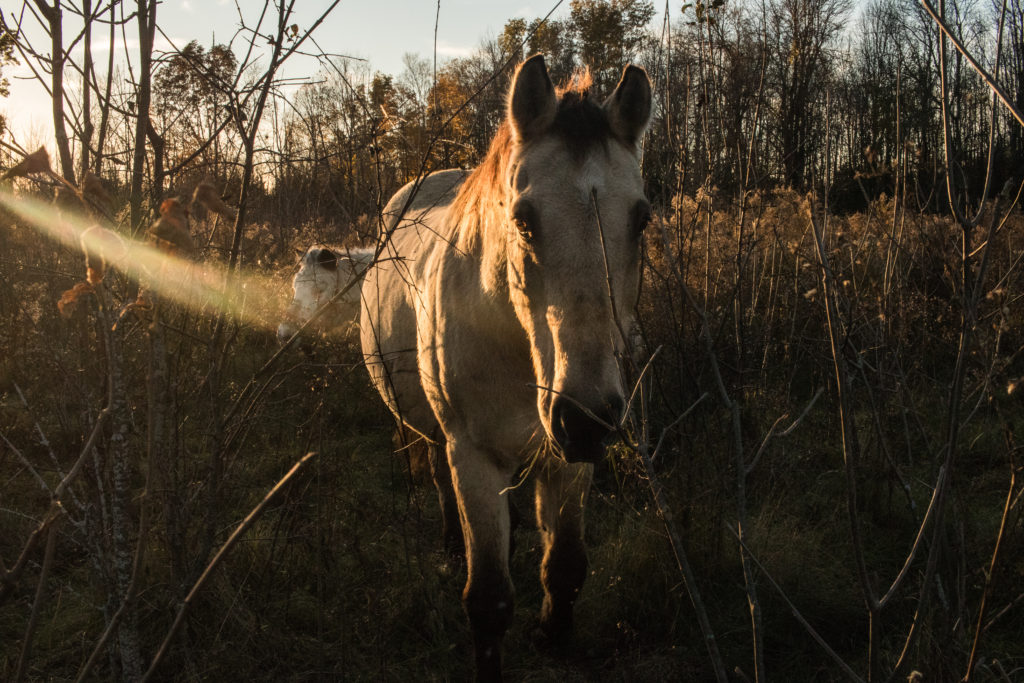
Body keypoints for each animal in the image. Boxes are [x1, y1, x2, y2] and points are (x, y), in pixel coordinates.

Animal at [360, 55, 652, 680]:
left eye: (641, 220)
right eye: (523, 219)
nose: (586, 417)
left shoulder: (568, 459)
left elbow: (565, 565)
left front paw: (554, 636)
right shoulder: (475, 455)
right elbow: (489, 598)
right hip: (438, 432)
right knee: (439, 476)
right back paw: (452, 542)